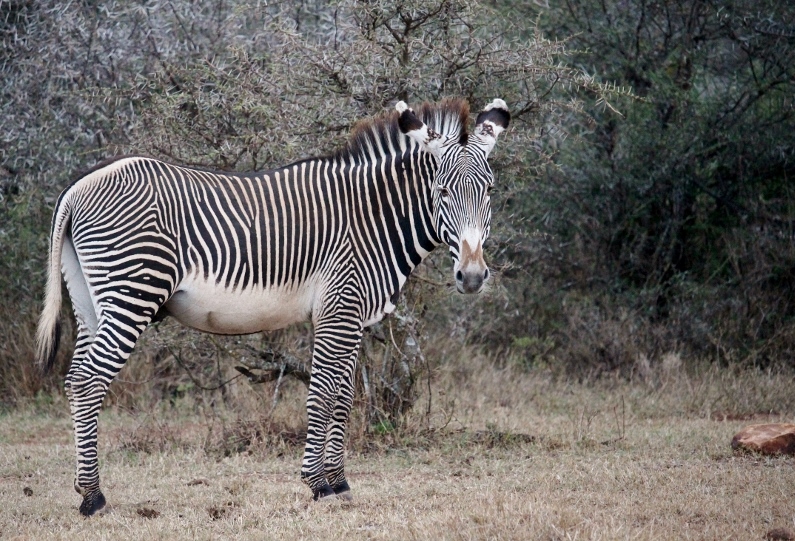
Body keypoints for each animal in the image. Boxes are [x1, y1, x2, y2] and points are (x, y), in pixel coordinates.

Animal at [35, 97, 510, 516]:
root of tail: (76, 189)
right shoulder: (340, 305)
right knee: (89, 381)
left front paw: (339, 482)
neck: (373, 218)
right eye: (442, 191)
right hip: (131, 292)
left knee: (76, 379)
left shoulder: (349, 315)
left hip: (90, 302)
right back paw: (93, 498)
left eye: (489, 190)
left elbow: (344, 395)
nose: (471, 277)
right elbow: (324, 393)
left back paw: (84, 488)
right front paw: (319, 485)